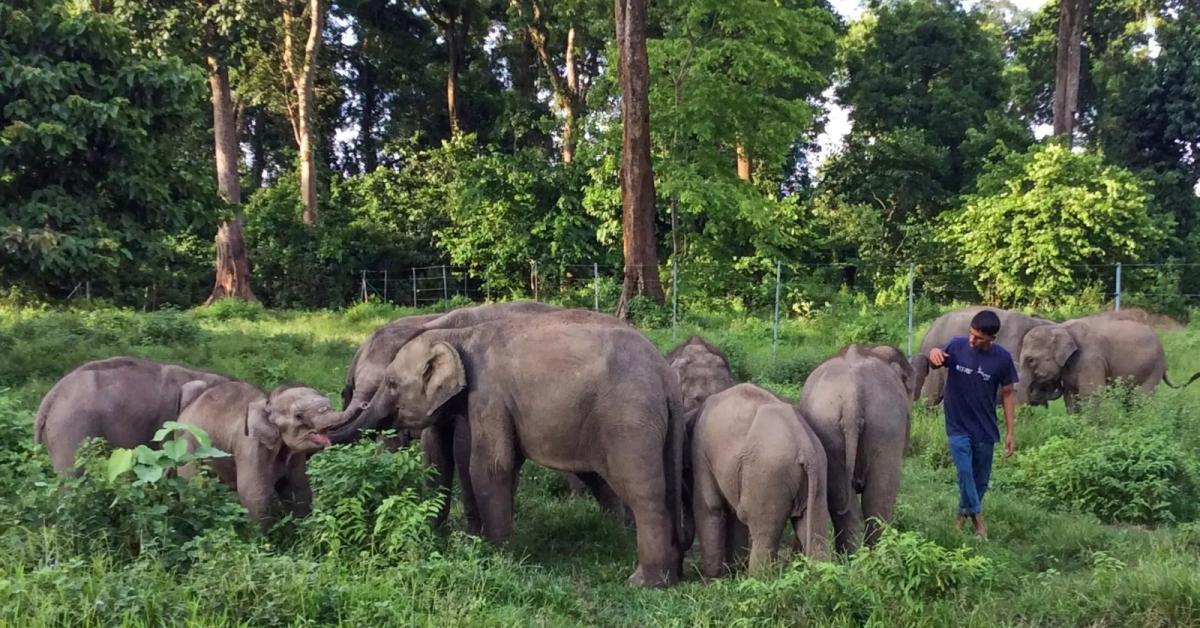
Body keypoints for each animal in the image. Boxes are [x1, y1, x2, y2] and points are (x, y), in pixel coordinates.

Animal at [178, 381, 346, 526]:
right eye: (298, 416)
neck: (269, 402)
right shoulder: (250, 447)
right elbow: (253, 494)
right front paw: (265, 542)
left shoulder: (295, 455)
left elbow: (299, 488)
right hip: (187, 444)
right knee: (192, 486)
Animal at [330, 311, 686, 587]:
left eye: (391, 384)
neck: (457, 334)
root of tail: (665, 374)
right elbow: (500, 465)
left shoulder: (488, 395)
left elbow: (488, 466)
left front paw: (494, 557)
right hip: (654, 425)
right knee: (664, 486)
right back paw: (670, 572)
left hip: (629, 420)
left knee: (644, 493)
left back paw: (644, 582)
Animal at [691, 383, 830, 577]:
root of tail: (805, 447)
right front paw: (733, 571)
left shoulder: (700, 451)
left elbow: (709, 506)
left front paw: (713, 579)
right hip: (818, 471)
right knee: (816, 533)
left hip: (767, 473)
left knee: (763, 536)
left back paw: (757, 579)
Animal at [1018, 313, 1200, 412]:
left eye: (1031, 360)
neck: (1060, 327)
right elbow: (1071, 397)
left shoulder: (1091, 360)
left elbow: (1090, 394)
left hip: (1154, 368)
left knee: (1141, 398)